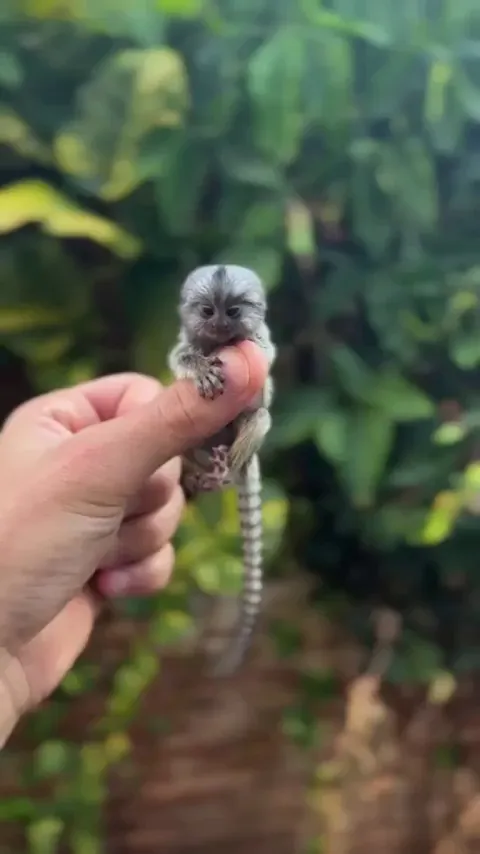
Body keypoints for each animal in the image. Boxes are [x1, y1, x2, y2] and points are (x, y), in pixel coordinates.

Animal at [167, 264, 276, 676]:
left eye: (232, 311)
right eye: (207, 311)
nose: (220, 324)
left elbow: (263, 372)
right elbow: (180, 358)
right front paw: (199, 368)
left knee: (260, 417)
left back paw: (228, 465)